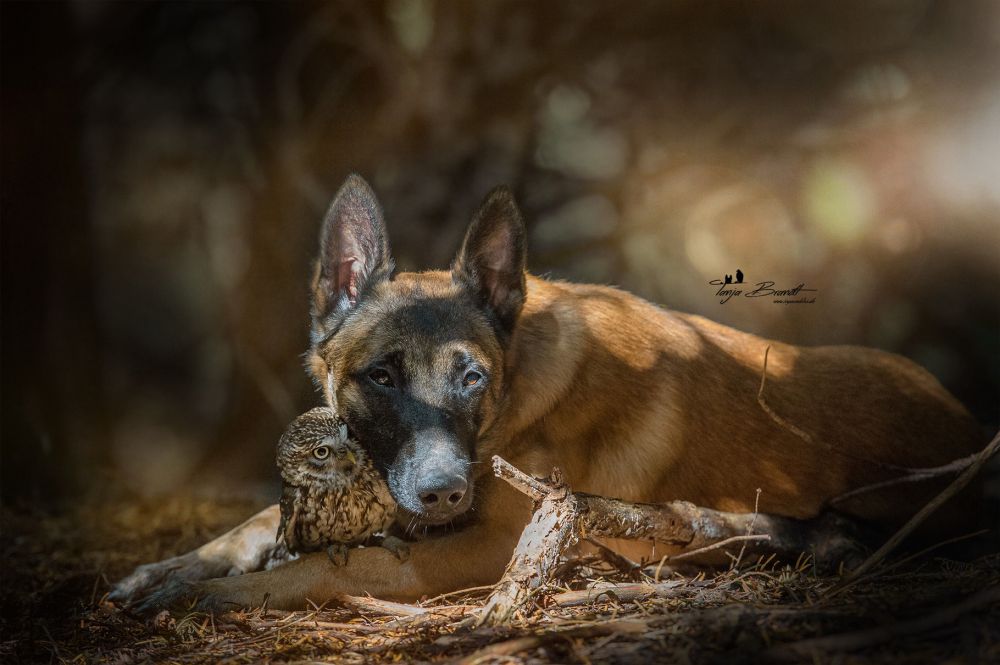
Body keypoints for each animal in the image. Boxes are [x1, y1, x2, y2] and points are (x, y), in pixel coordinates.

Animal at [109, 174, 984, 608]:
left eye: (472, 378)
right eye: (380, 376)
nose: (443, 493)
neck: (517, 398)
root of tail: (970, 428)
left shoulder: (488, 545)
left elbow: (331, 568)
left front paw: (220, 591)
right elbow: (258, 521)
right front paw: (175, 566)